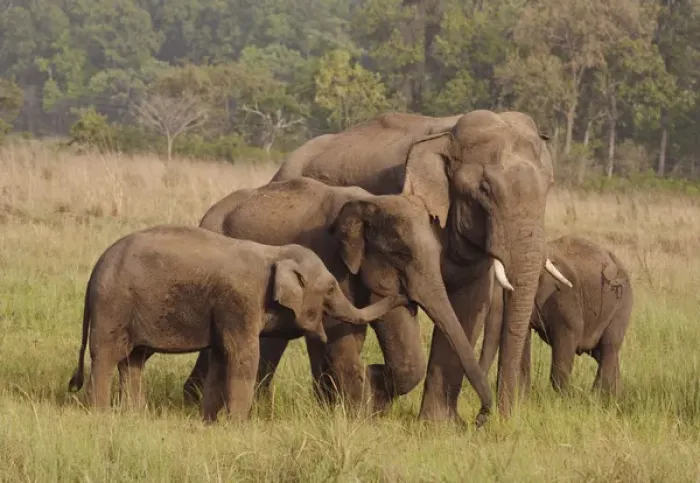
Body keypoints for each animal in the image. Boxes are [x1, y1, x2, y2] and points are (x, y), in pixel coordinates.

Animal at [66, 225, 409, 422]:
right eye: (331, 289)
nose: (404, 295)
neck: (273, 254)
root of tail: (96, 268)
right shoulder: (239, 302)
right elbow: (243, 356)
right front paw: (238, 425)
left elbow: (221, 357)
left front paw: (208, 423)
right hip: (113, 306)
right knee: (107, 355)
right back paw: (100, 413)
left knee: (134, 360)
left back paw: (134, 415)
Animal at [181, 176, 496, 425]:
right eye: (401, 255)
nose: (479, 419)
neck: (369, 202)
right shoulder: (329, 258)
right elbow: (342, 334)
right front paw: (361, 412)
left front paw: (372, 396)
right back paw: (192, 401)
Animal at [268, 109, 572, 420]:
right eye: (484, 190)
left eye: (549, 187)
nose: (485, 418)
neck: (449, 134)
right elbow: (390, 303)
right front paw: (377, 388)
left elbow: (468, 305)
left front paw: (439, 424)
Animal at [479, 236, 634, 397]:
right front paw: (523, 398)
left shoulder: (565, 295)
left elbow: (569, 336)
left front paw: (563, 399)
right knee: (600, 353)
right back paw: (616, 398)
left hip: (623, 303)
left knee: (609, 347)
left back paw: (598, 397)